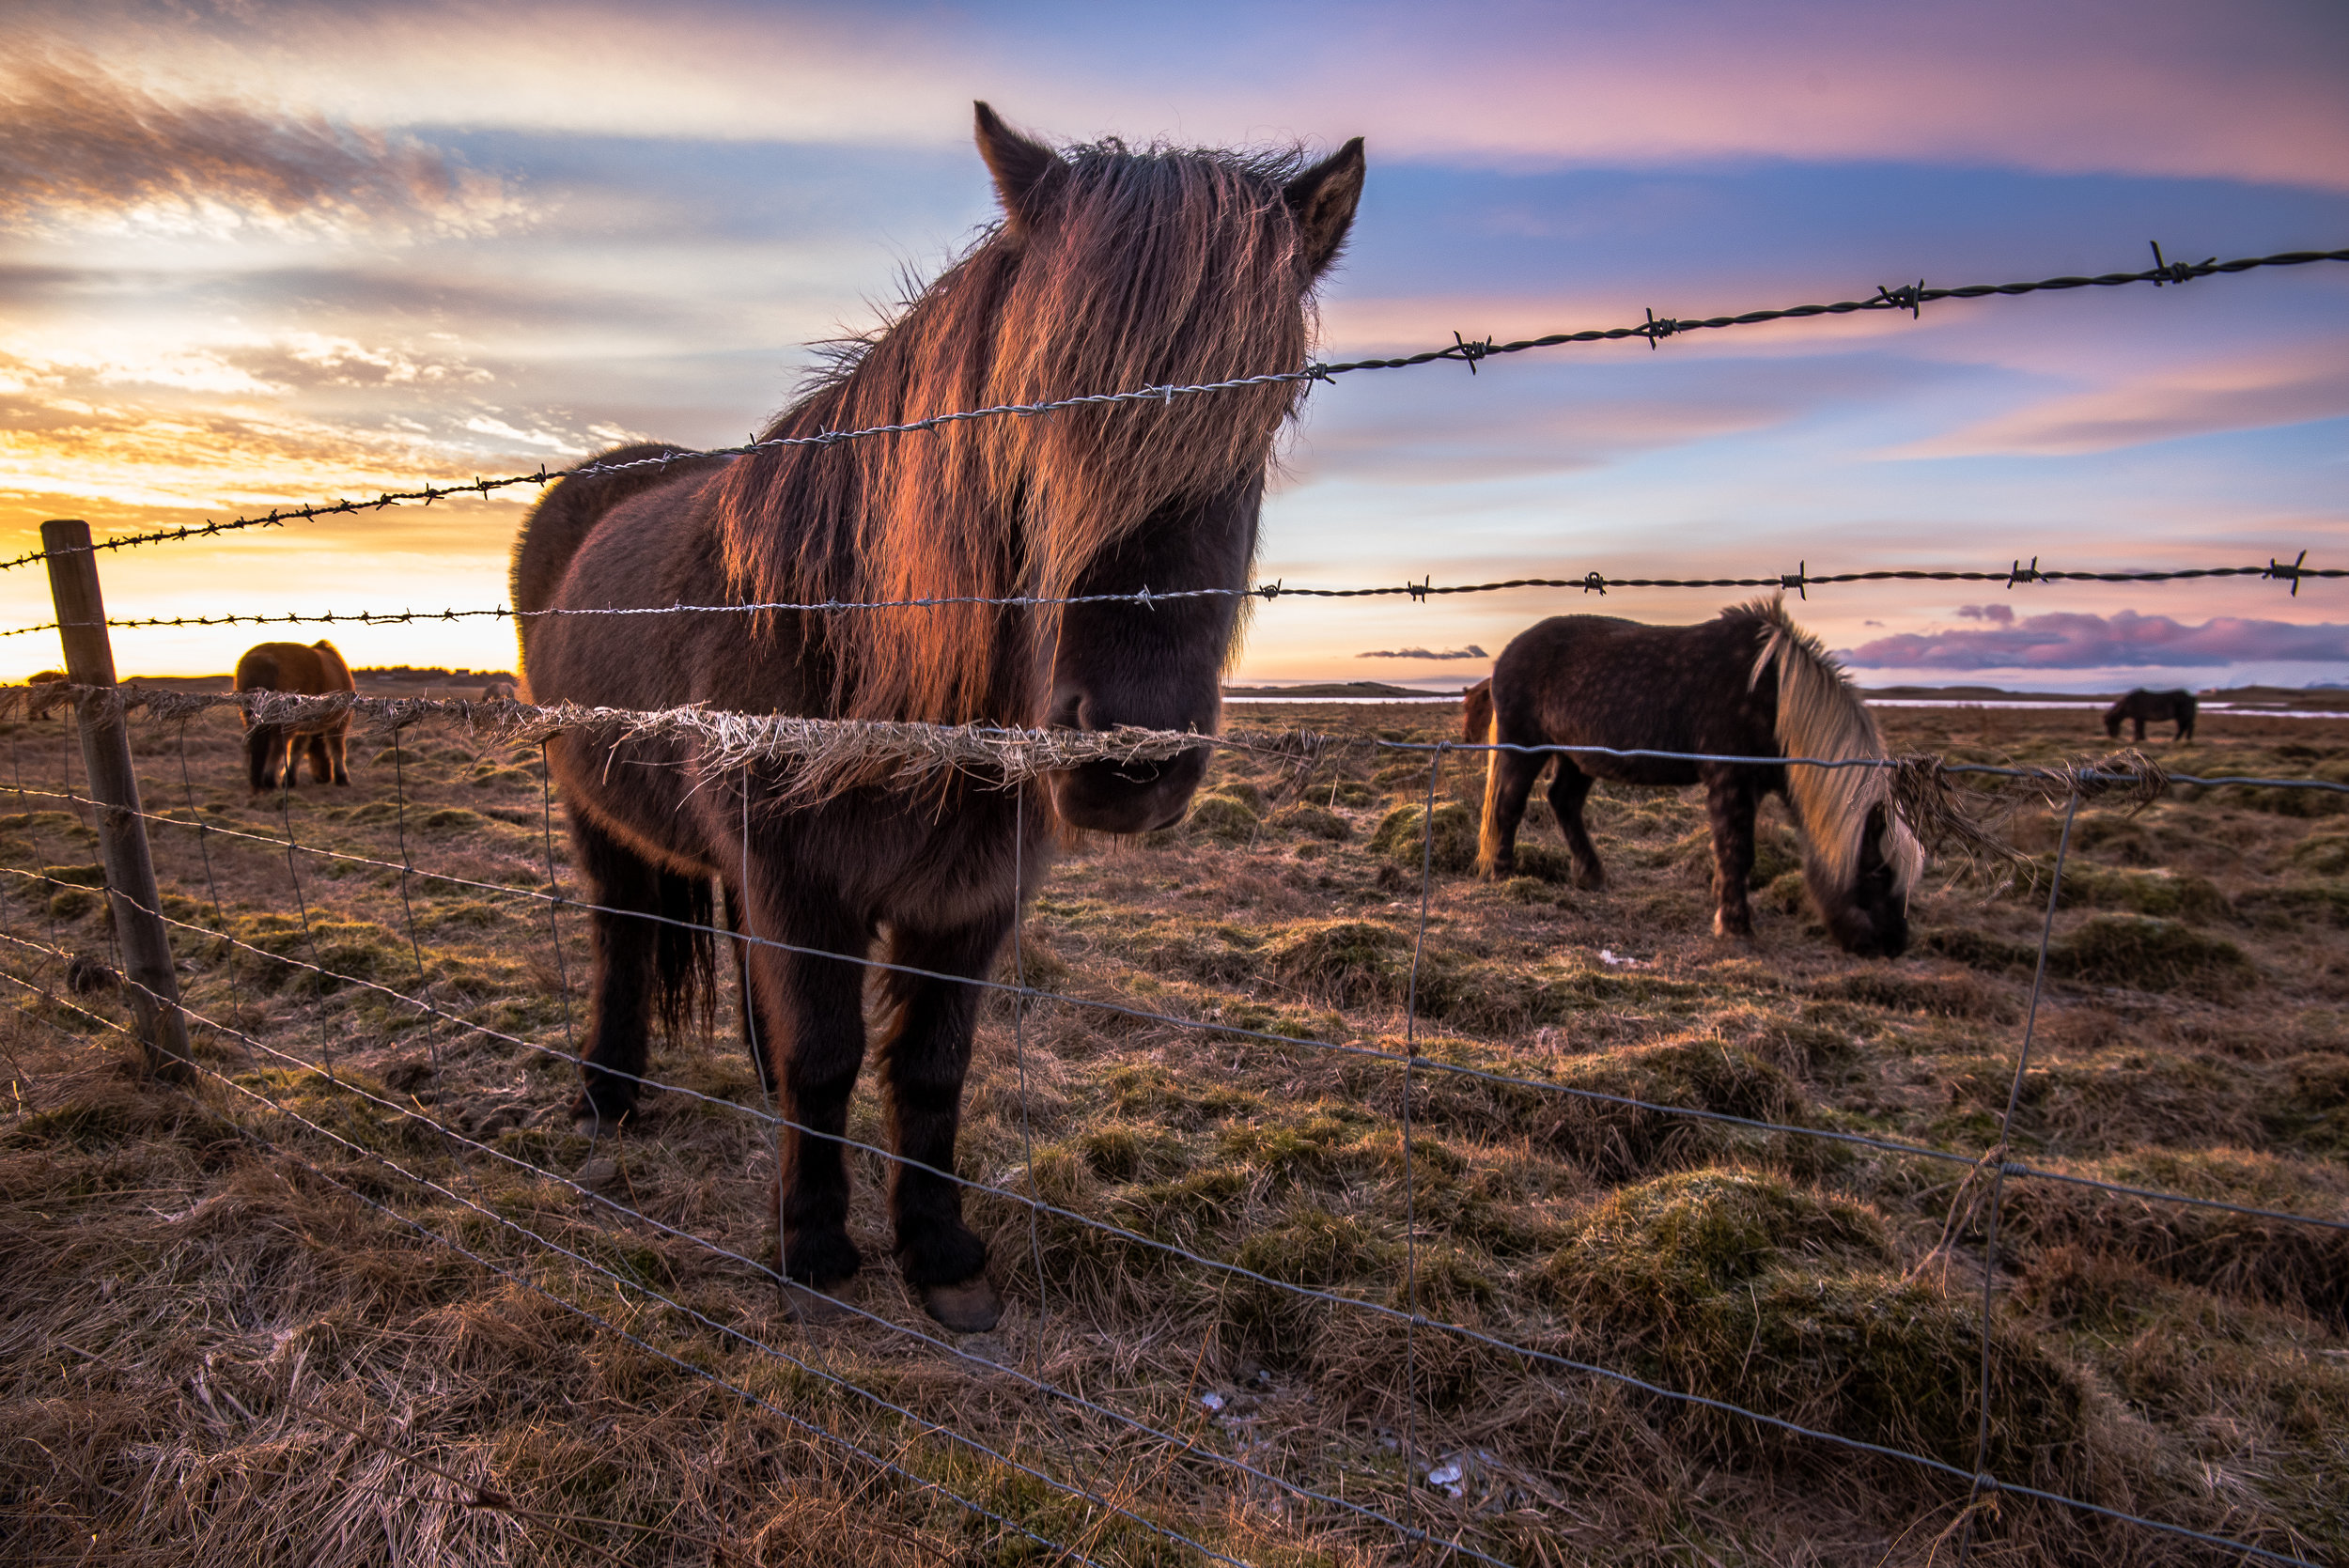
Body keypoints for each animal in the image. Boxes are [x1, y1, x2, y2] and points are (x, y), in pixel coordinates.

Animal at [233, 638, 352, 788]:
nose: (324, 777)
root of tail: (263, 659)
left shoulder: (304, 726)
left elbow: (297, 749)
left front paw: (289, 778)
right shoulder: (339, 722)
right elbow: (337, 748)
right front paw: (342, 777)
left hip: (252, 720)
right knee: (278, 746)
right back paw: (269, 780)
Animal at [507, 103, 1372, 1333]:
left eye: (1261, 420)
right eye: (1032, 407)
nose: (1130, 757)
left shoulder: (968, 898)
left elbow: (928, 1067)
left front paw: (938, 1249)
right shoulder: (799, 879)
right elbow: (828, 1053)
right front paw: (815, 1244)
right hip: (596, 811)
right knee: (620, 936)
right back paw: (608, 1094)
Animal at [1475, 594, 1917, 948]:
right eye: (1876, 873)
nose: (1893, 944)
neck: (1775, 696)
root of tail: (1507, 653)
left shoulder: (1750, 784)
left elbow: (1733, 851)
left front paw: (1725, 907)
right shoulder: (1730, 779)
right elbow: (1735, 850)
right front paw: (1736, 926)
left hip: (1576, 756)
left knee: (1563, 802)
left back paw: (1593, 874)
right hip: (1524, 749)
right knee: (1509, 807)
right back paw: (1503, 874)